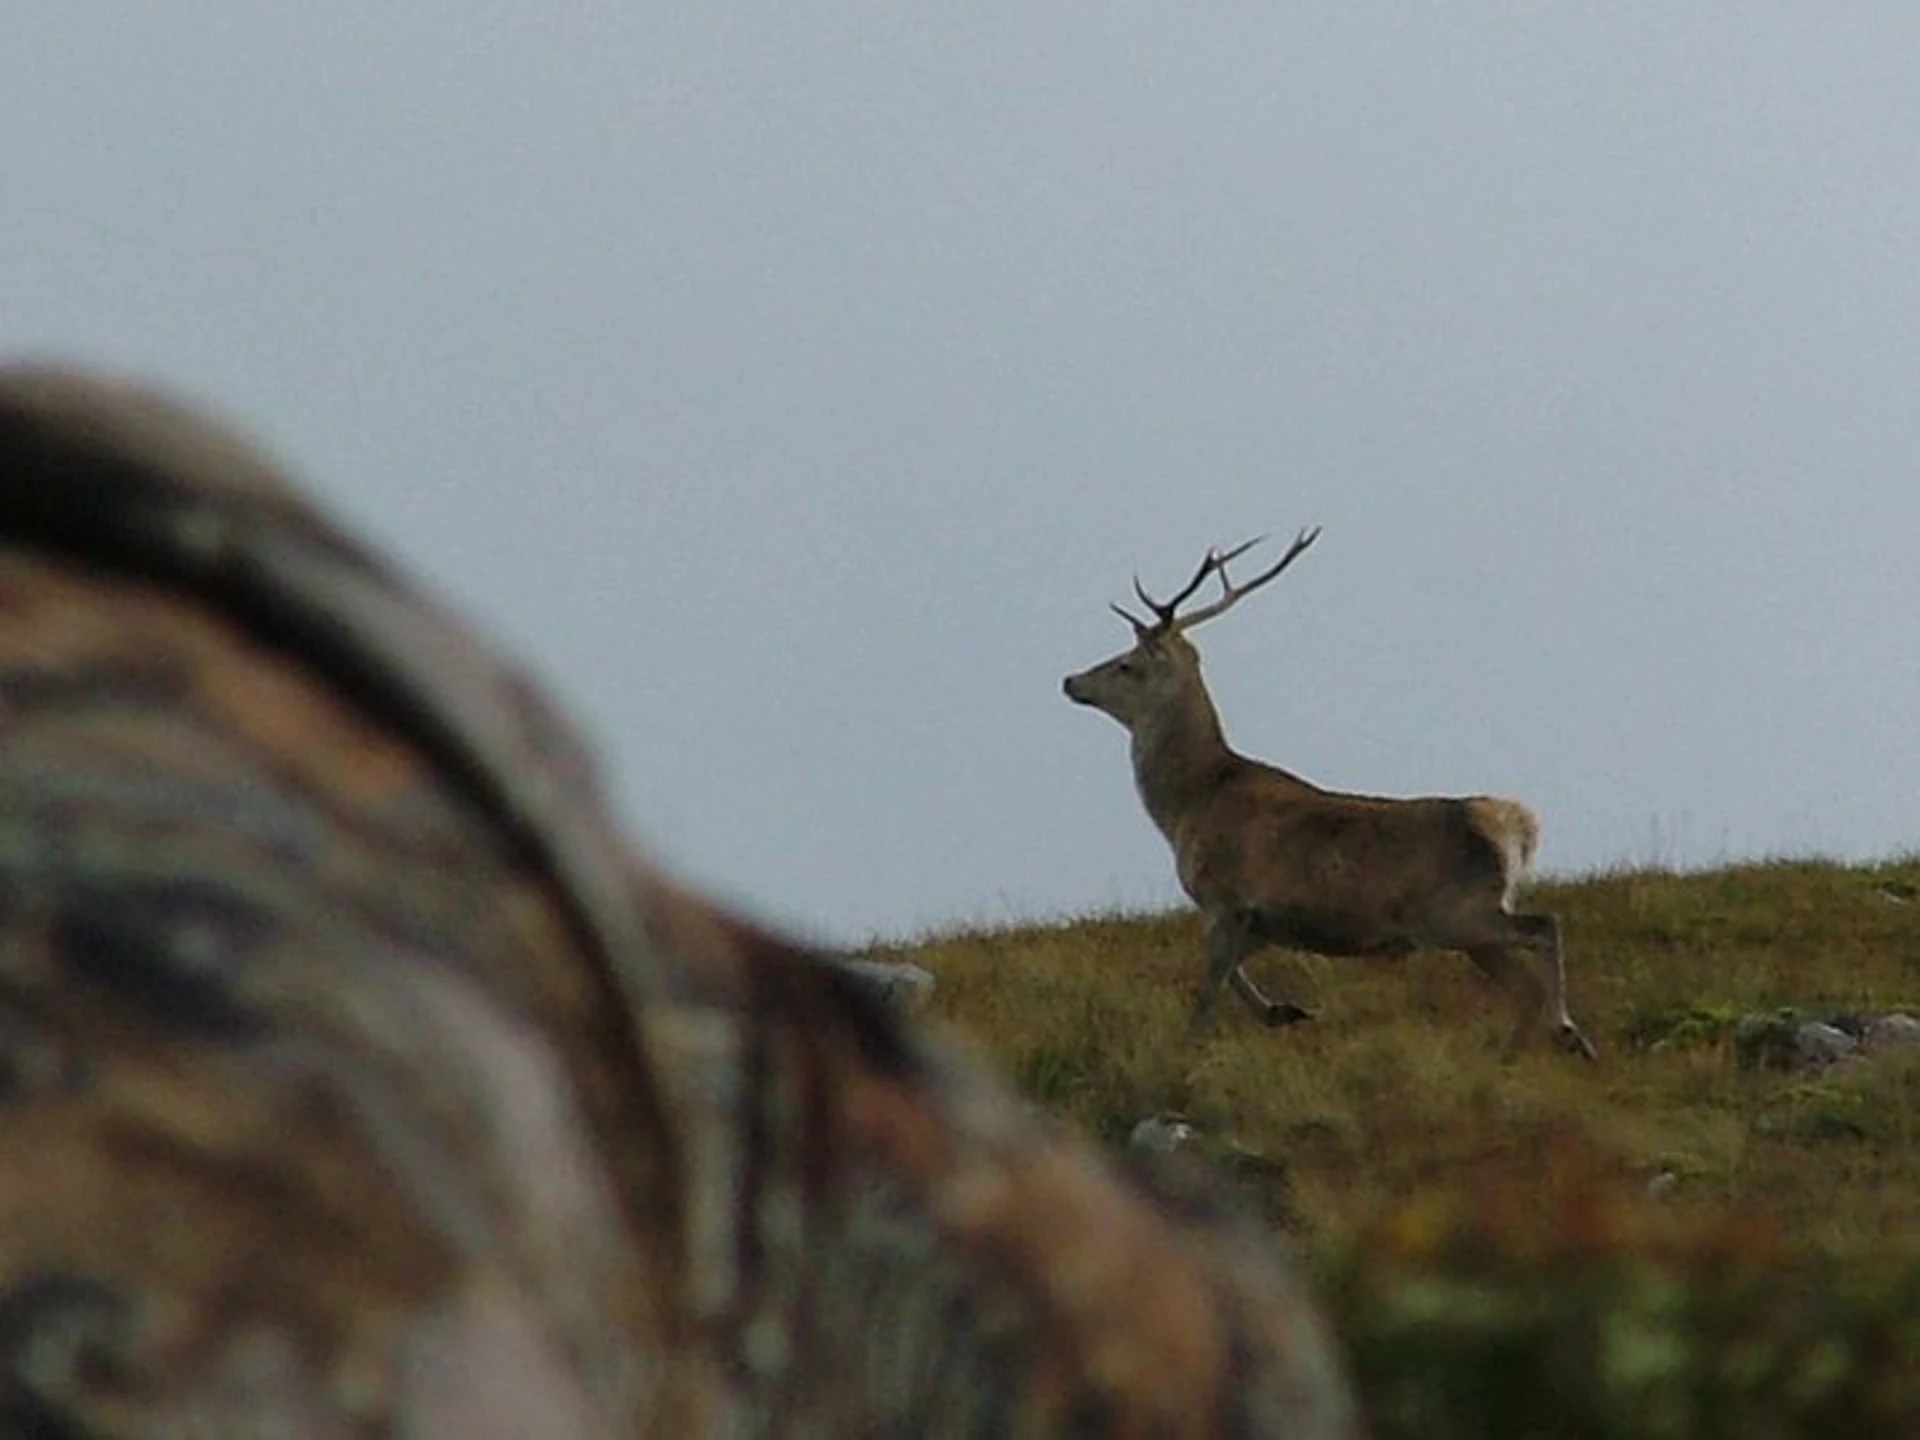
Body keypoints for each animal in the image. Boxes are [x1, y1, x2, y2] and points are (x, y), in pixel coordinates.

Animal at [1063, 528, 1596, 1060]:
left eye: (1126, 665)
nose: (1070, 680)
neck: (1186, 807)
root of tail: (1515, 825)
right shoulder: (1265, 921)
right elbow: (1231, 975)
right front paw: (1286, 1011)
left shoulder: (1227, 898)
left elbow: (1210, 988)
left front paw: (1195, 1042)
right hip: (1468, 927)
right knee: (1525, 984)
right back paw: (1532, 1047)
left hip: (1453, 913)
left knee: (1544, 929)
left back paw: (1568, 1028)